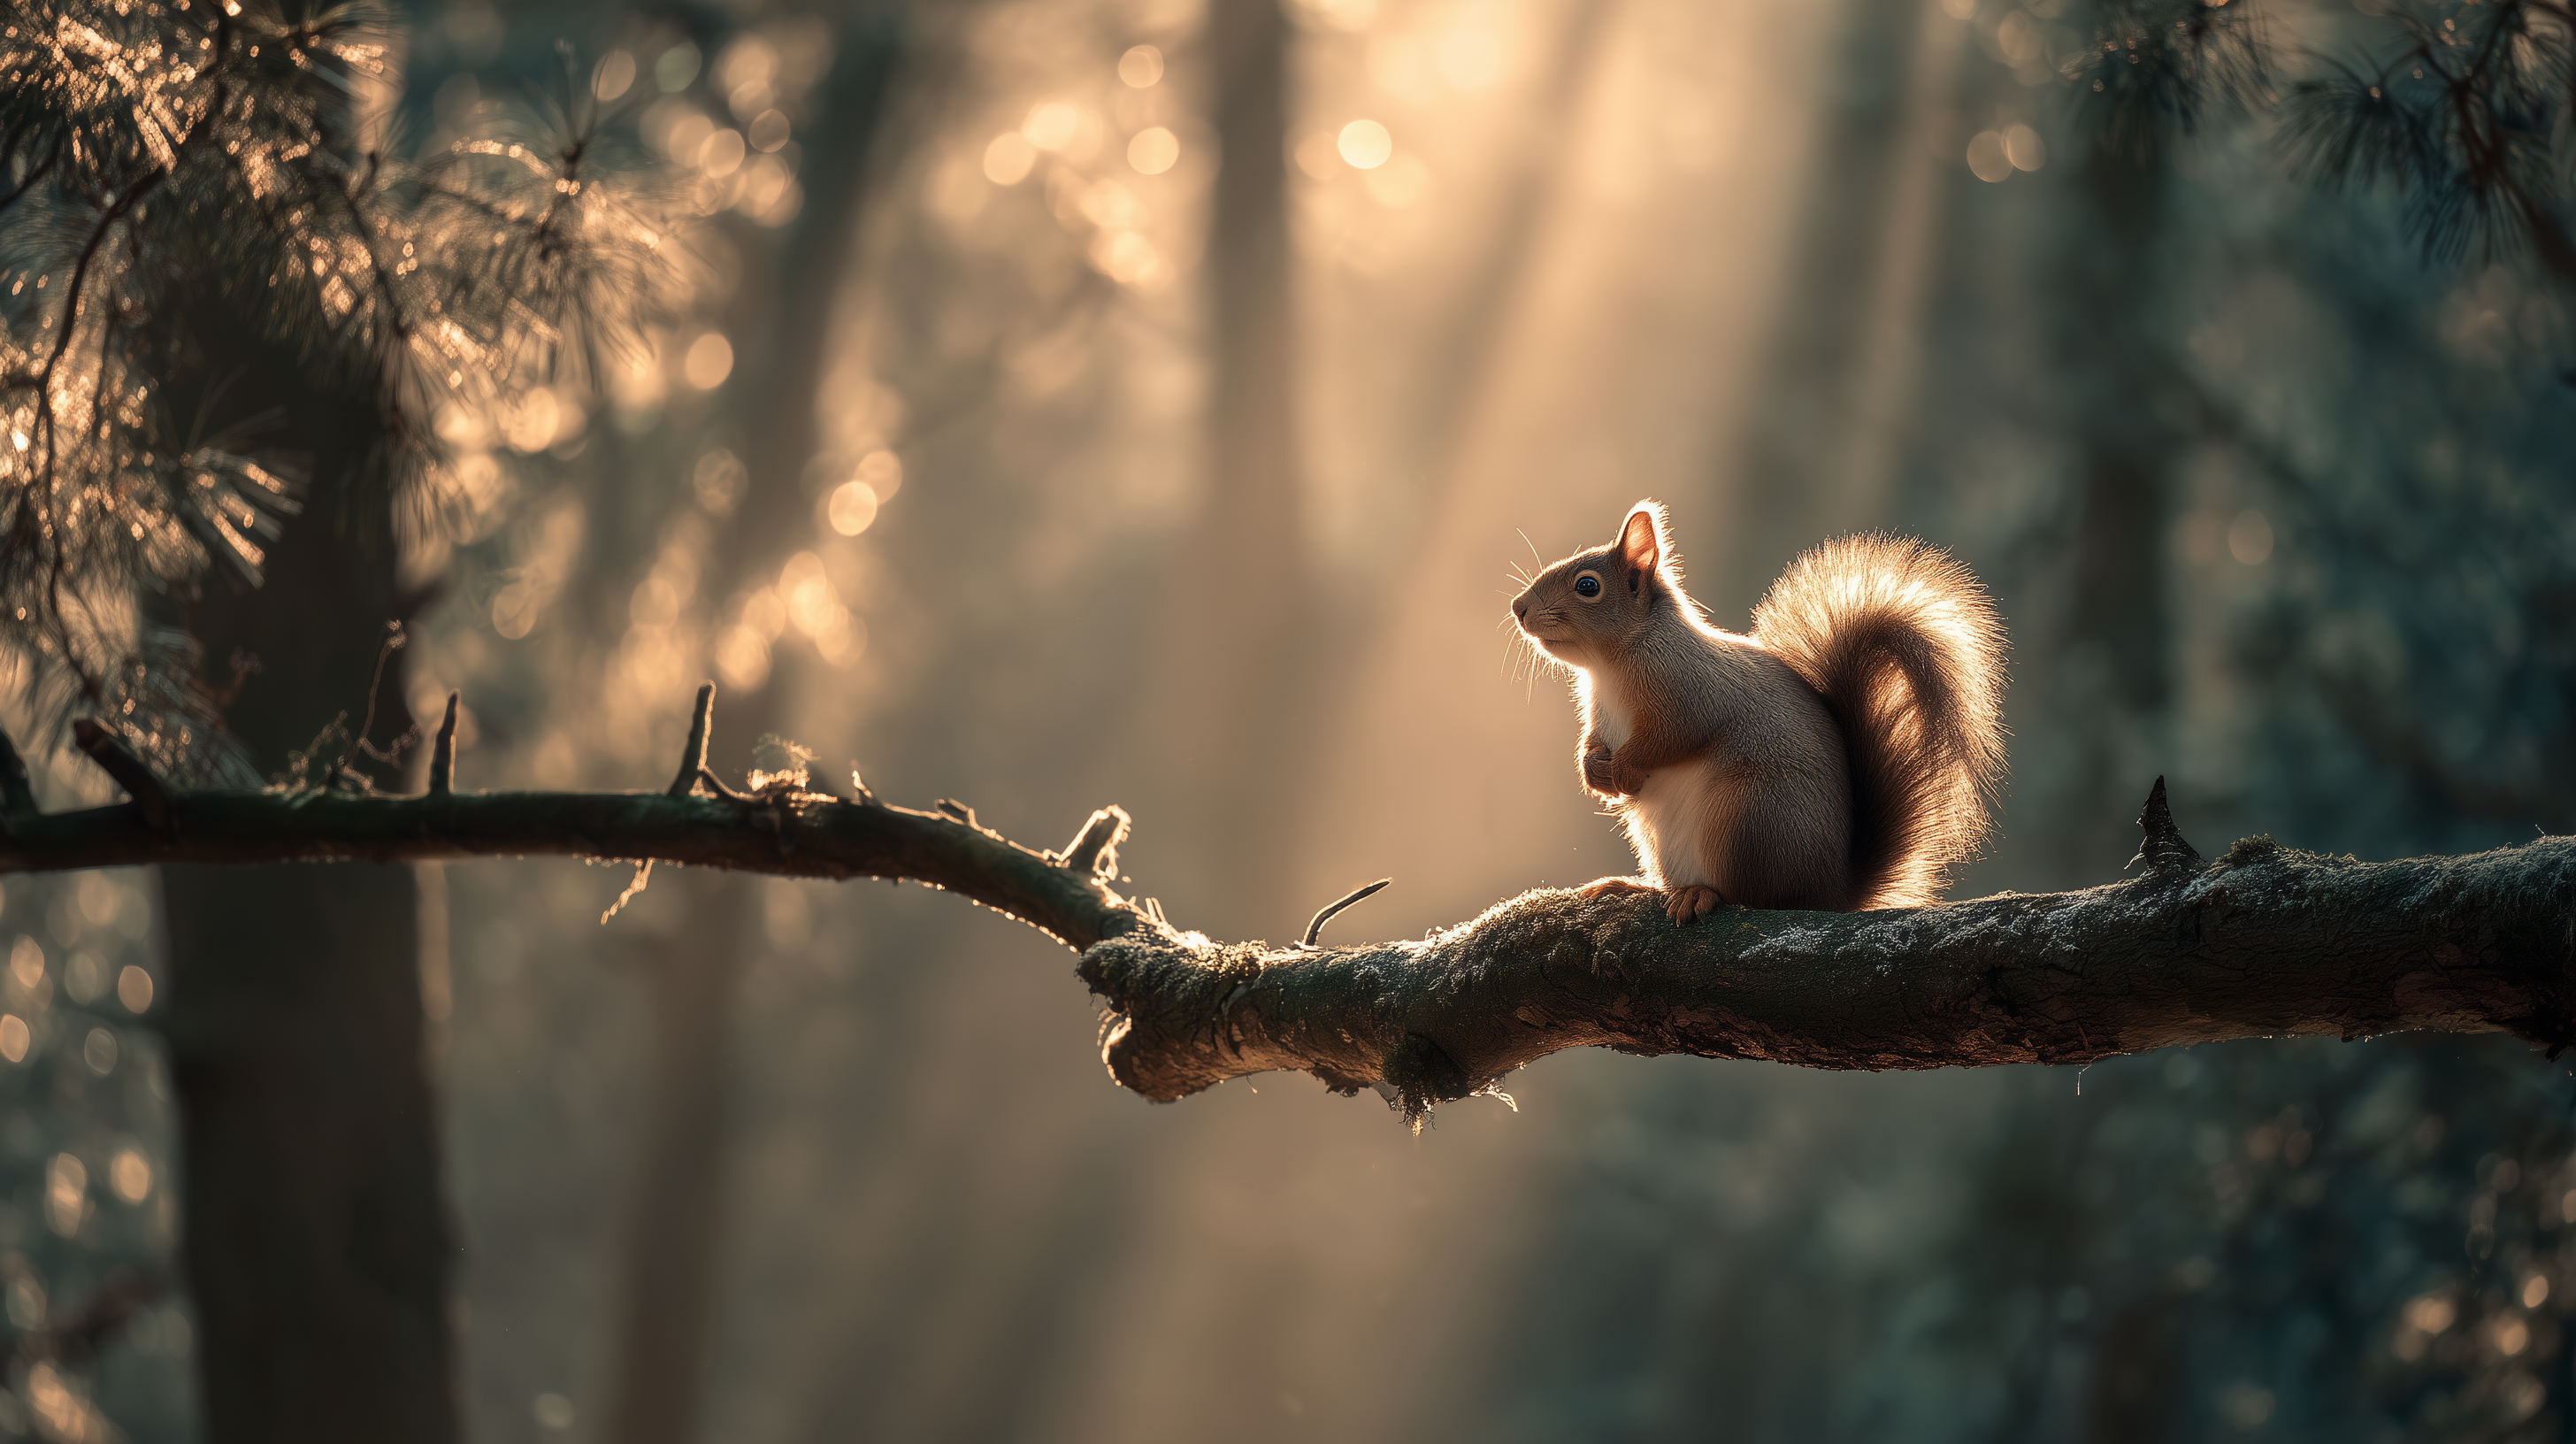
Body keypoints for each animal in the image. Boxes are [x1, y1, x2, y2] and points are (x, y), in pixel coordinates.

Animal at [1510, 500, 2007, 923]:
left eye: (1588, 586)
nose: (1518, 607)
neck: (1609, 666)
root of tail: (1830, 892)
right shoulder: (1601, 717)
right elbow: (1593, 743)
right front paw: (1594, 771)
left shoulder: (1691, 695)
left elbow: (1672, 738)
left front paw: (1625, 771)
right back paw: (1635, 887)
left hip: (1748, 817)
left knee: (1752, 897)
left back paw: (1699, 894)